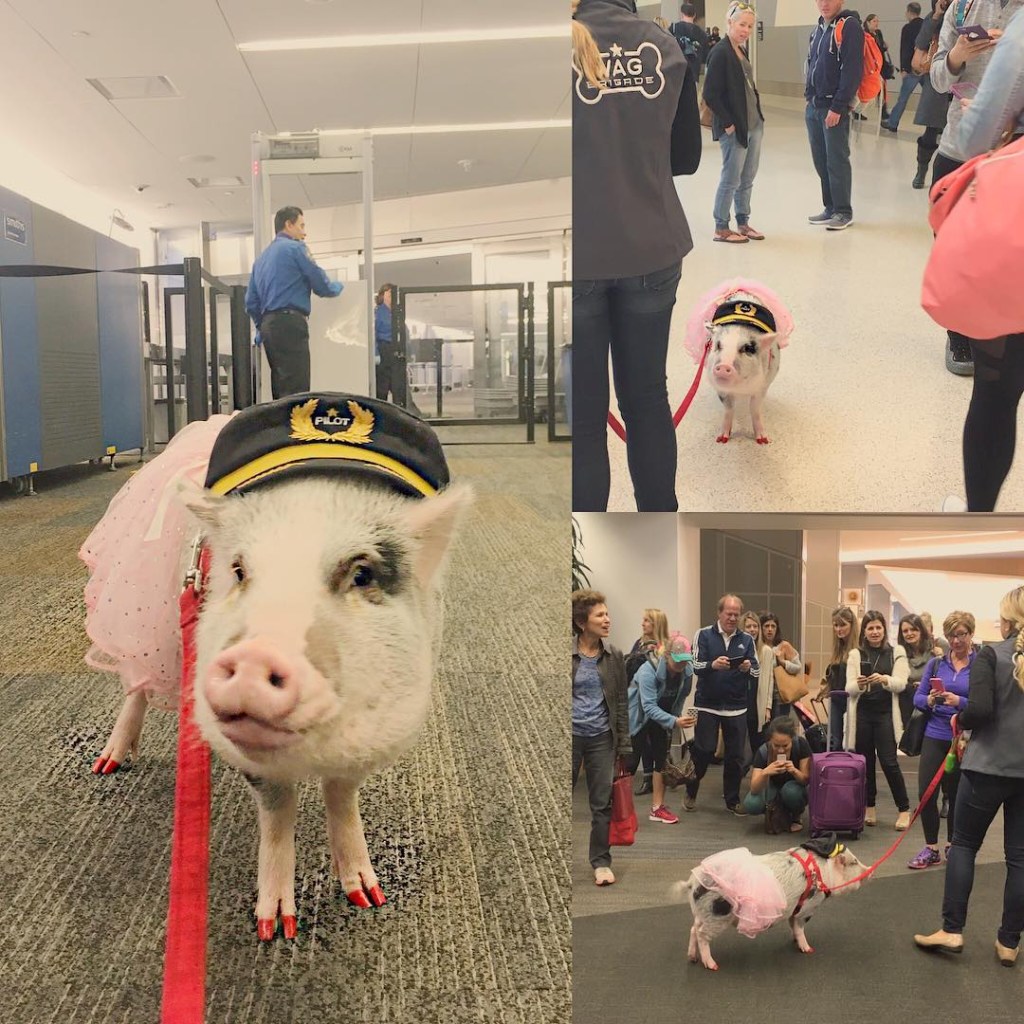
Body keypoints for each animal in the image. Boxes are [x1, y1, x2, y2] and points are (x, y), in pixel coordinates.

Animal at [675, 835, 868, 970]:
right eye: (854, 862)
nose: (868, 871)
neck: (822, 872)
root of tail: (693, 882)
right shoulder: (808, 907)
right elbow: (800, 928)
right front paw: (808, 949)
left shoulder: (795, 909)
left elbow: (793, 925)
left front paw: (794, 941)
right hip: (717, 914)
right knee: (701, 935)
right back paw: (712, 965)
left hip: (703, 913)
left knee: (693, 929)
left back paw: (692, 958)